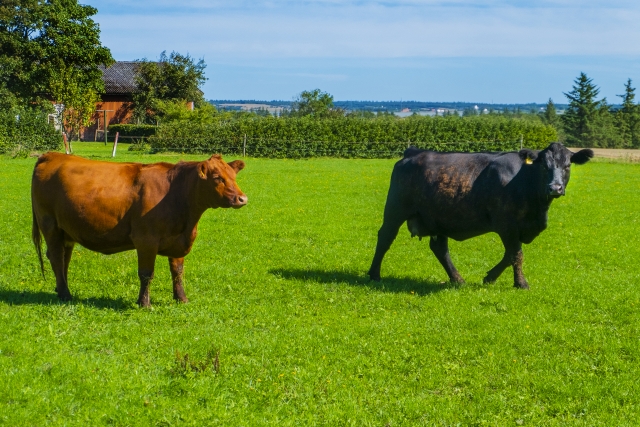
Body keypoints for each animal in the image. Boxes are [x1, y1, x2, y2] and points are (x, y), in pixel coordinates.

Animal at [31, 154, 248, 308]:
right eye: (218, 178)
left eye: (234, 176)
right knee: (56, 257)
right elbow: (146, 273)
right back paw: (65, 294)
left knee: (64, 258)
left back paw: (61, 289)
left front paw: (181, 298)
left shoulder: (178, 240)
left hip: (66, 231)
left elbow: (177, 272)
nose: (242, 198)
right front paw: (144, 303)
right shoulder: (146, 240)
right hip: (50, 225)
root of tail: (52, 155)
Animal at [370, 142, 596, 290]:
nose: (555, 188)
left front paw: (491, 278)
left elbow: (510, 254)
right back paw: (374, 274)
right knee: (385, 238)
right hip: (395, 210)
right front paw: (520, 283)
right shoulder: (506, 224)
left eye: (567, 165)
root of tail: (413, 152)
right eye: (543, 165)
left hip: (439, 217)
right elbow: (516, 254)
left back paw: (458, 279)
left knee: (439, 248)